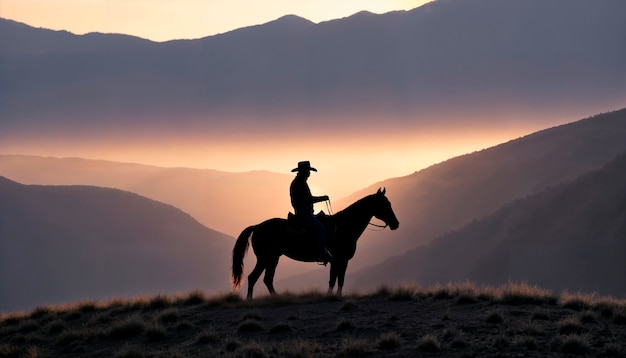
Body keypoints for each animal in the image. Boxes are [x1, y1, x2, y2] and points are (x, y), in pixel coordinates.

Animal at [232, 187, 398, 300]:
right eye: (385, 204)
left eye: (389, 203)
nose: (396, 224)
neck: (344, 226)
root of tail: (257, 226)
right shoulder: (338, 259)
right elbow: (334, 279)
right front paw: (331, 296)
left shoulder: (340, 261)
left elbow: (338, 279)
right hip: (265, 258)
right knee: (253, 278)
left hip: (273, 258)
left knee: (267, 279)